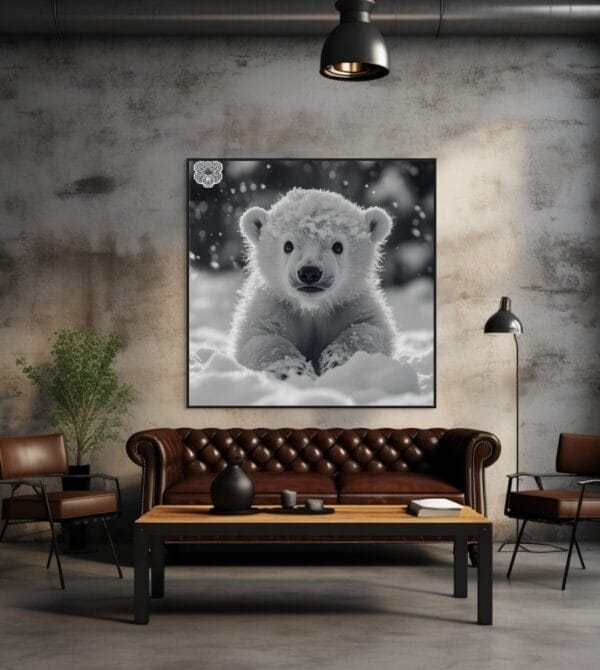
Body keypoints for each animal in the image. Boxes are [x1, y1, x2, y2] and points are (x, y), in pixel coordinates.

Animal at [229, 187, 397, 379]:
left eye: (338, 246)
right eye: (288, 245)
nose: (309, 272)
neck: (312, 307)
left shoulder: (352, 304)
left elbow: (368, 330)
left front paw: (340, 362)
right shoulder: (272, 306)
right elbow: (260, 339)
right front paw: (293, 371)